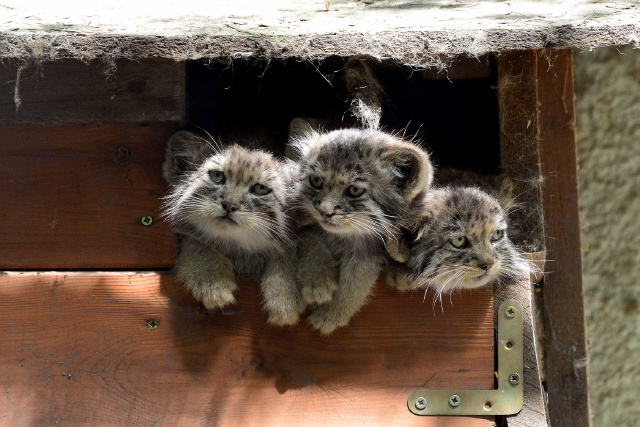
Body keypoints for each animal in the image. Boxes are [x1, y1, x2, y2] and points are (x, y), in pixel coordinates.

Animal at [161, 130, 304, 324]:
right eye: (217, 176)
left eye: (261, 189)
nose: (229, 205)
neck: (237, 247)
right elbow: (195, 241)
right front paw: (211, 278)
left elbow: (286, 253)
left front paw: (286, 293)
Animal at [292, 122, 432, 336]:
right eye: (316, 181)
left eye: (354, 190)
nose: (324, 212)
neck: (345, 237)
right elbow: (312, 238)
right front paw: (316, 280)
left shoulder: (370, 251)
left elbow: (358, 278)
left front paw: (334, 312)